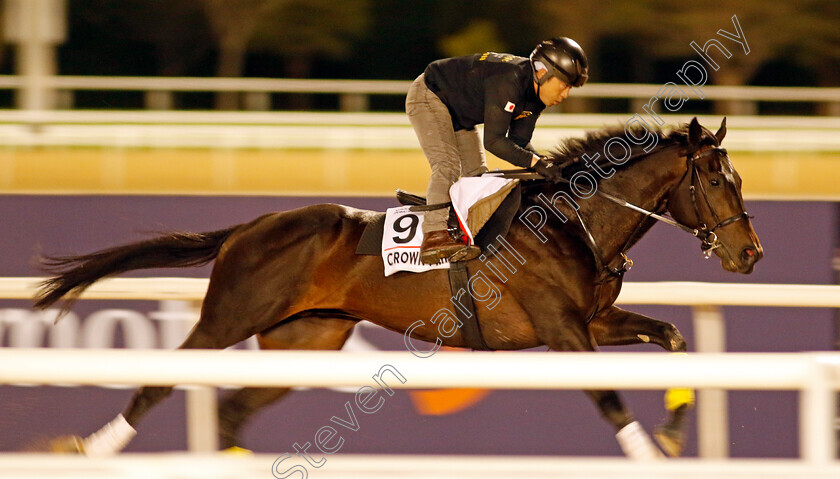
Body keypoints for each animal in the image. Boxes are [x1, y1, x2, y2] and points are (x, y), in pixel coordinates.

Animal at [34, 118, 760, 460]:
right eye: (715, 180)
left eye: (739, 178)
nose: (750, 253)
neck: (571, 220)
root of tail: (250, 226)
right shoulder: (561, 329)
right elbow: (608, 397)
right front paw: (650, 451)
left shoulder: (593, 320)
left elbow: (674, 335)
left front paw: (673, 432)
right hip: (229, 316)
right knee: (159, 380)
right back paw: (90, 447)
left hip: (306, 339)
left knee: (234, 409)